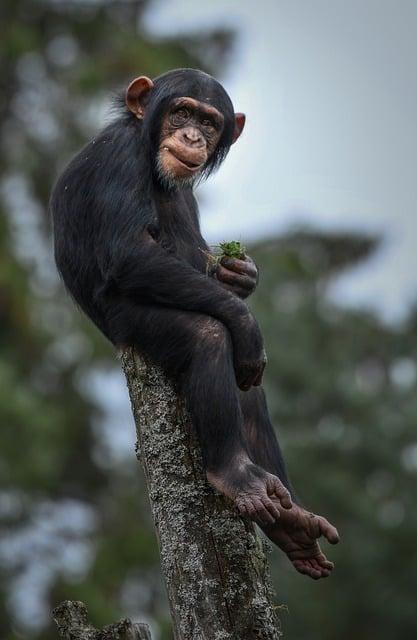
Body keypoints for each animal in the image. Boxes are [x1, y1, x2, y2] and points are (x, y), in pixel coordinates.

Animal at [51, 70, 338, 580]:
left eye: (208, 121)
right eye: (181, 111)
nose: (191, 136)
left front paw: (241, 273)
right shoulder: (119, 158)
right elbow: (131, 252)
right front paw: (247, 321)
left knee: (248, 384)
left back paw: (293, 523)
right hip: (132, 327)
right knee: (209, 338)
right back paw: (234, 474)